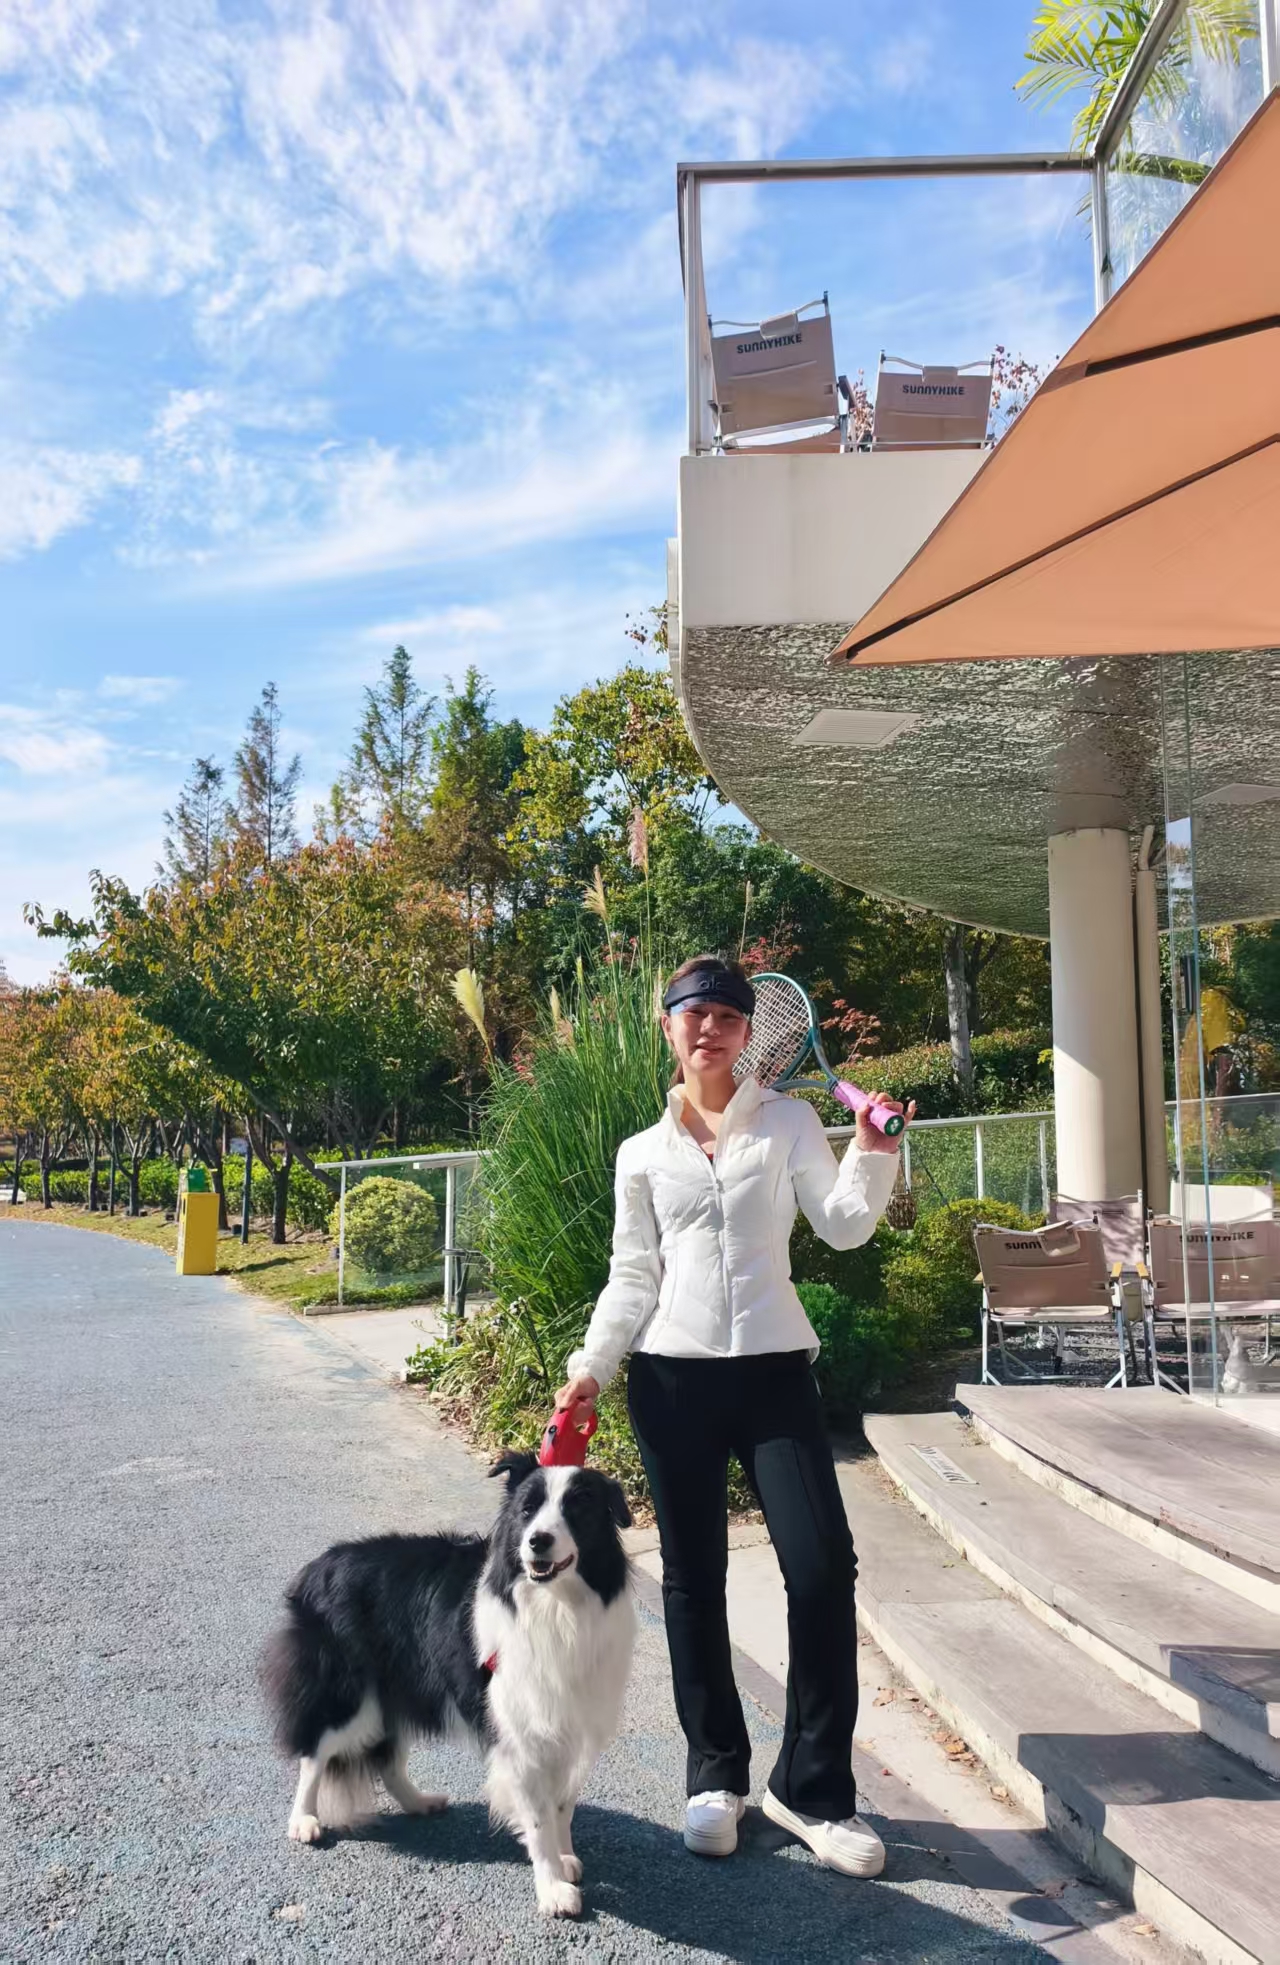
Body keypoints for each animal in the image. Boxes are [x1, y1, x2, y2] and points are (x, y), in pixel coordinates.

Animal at [262, 1451, 635, 1917]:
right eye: (527, 1511)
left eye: (578, 1509)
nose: (537, 1541)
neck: (556, 1605)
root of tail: (317, 1567)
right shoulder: (519, 1732)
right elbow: (538, 1815)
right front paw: (552, 1889)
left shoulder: (574, 1722)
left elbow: (563, 1805)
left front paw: (565, 1858)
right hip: (352, 1694)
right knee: (316, 1751)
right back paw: (304, 1820)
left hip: (397, 1688)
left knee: (388, 1757)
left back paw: (420, 1803)